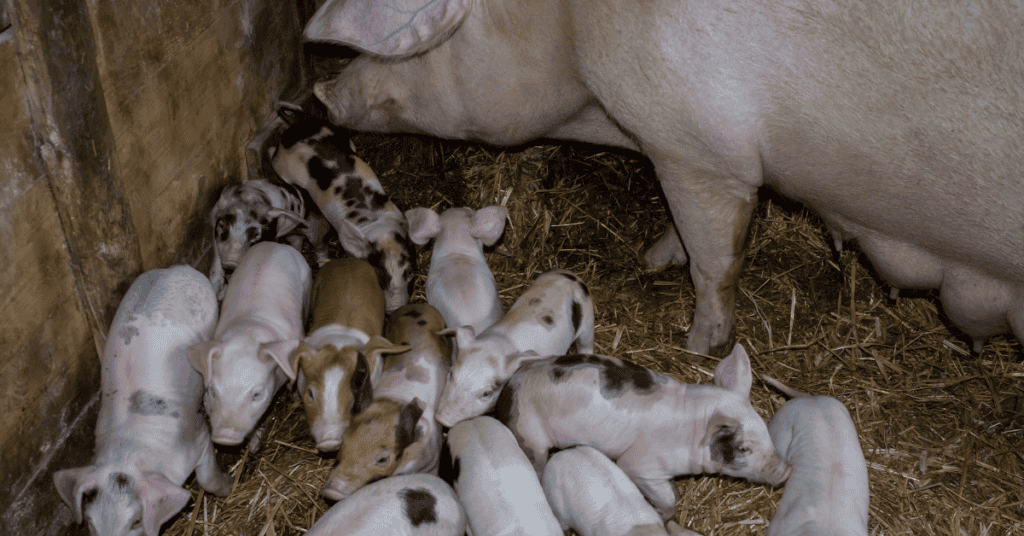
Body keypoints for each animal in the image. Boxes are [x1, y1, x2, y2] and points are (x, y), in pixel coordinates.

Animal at [53, 266, 232, 536]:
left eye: (136, 521)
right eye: (91, 522)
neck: (128, 454)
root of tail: (180, 268)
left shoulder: (198, 438)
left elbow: (207, 480)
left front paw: (230, 485)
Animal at [187, 242, 311, 451]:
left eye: (257, 394)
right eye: (213, 390)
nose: (225, 437)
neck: (248, 331)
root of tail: (275, 244)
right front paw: (253, 446)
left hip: (307, 279)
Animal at [270, 114, 414, 312]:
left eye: (409, 274)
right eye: (380, 278)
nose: (395, 309)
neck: (377, 225)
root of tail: (291, 132)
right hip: (284, 170)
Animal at [435, 268, 595, 427]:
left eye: (487, 393)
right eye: (451, 373)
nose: (442, 419)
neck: (500, 343)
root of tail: (570, 275)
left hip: (587, 321)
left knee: (586, 344)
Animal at [495, 344, 791, 521]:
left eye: (766, 429)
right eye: (743, 448)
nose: (787, 470)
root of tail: (512, 384)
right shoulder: (641, 464)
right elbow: (666, 498)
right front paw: (662, 513)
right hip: (529, 434)